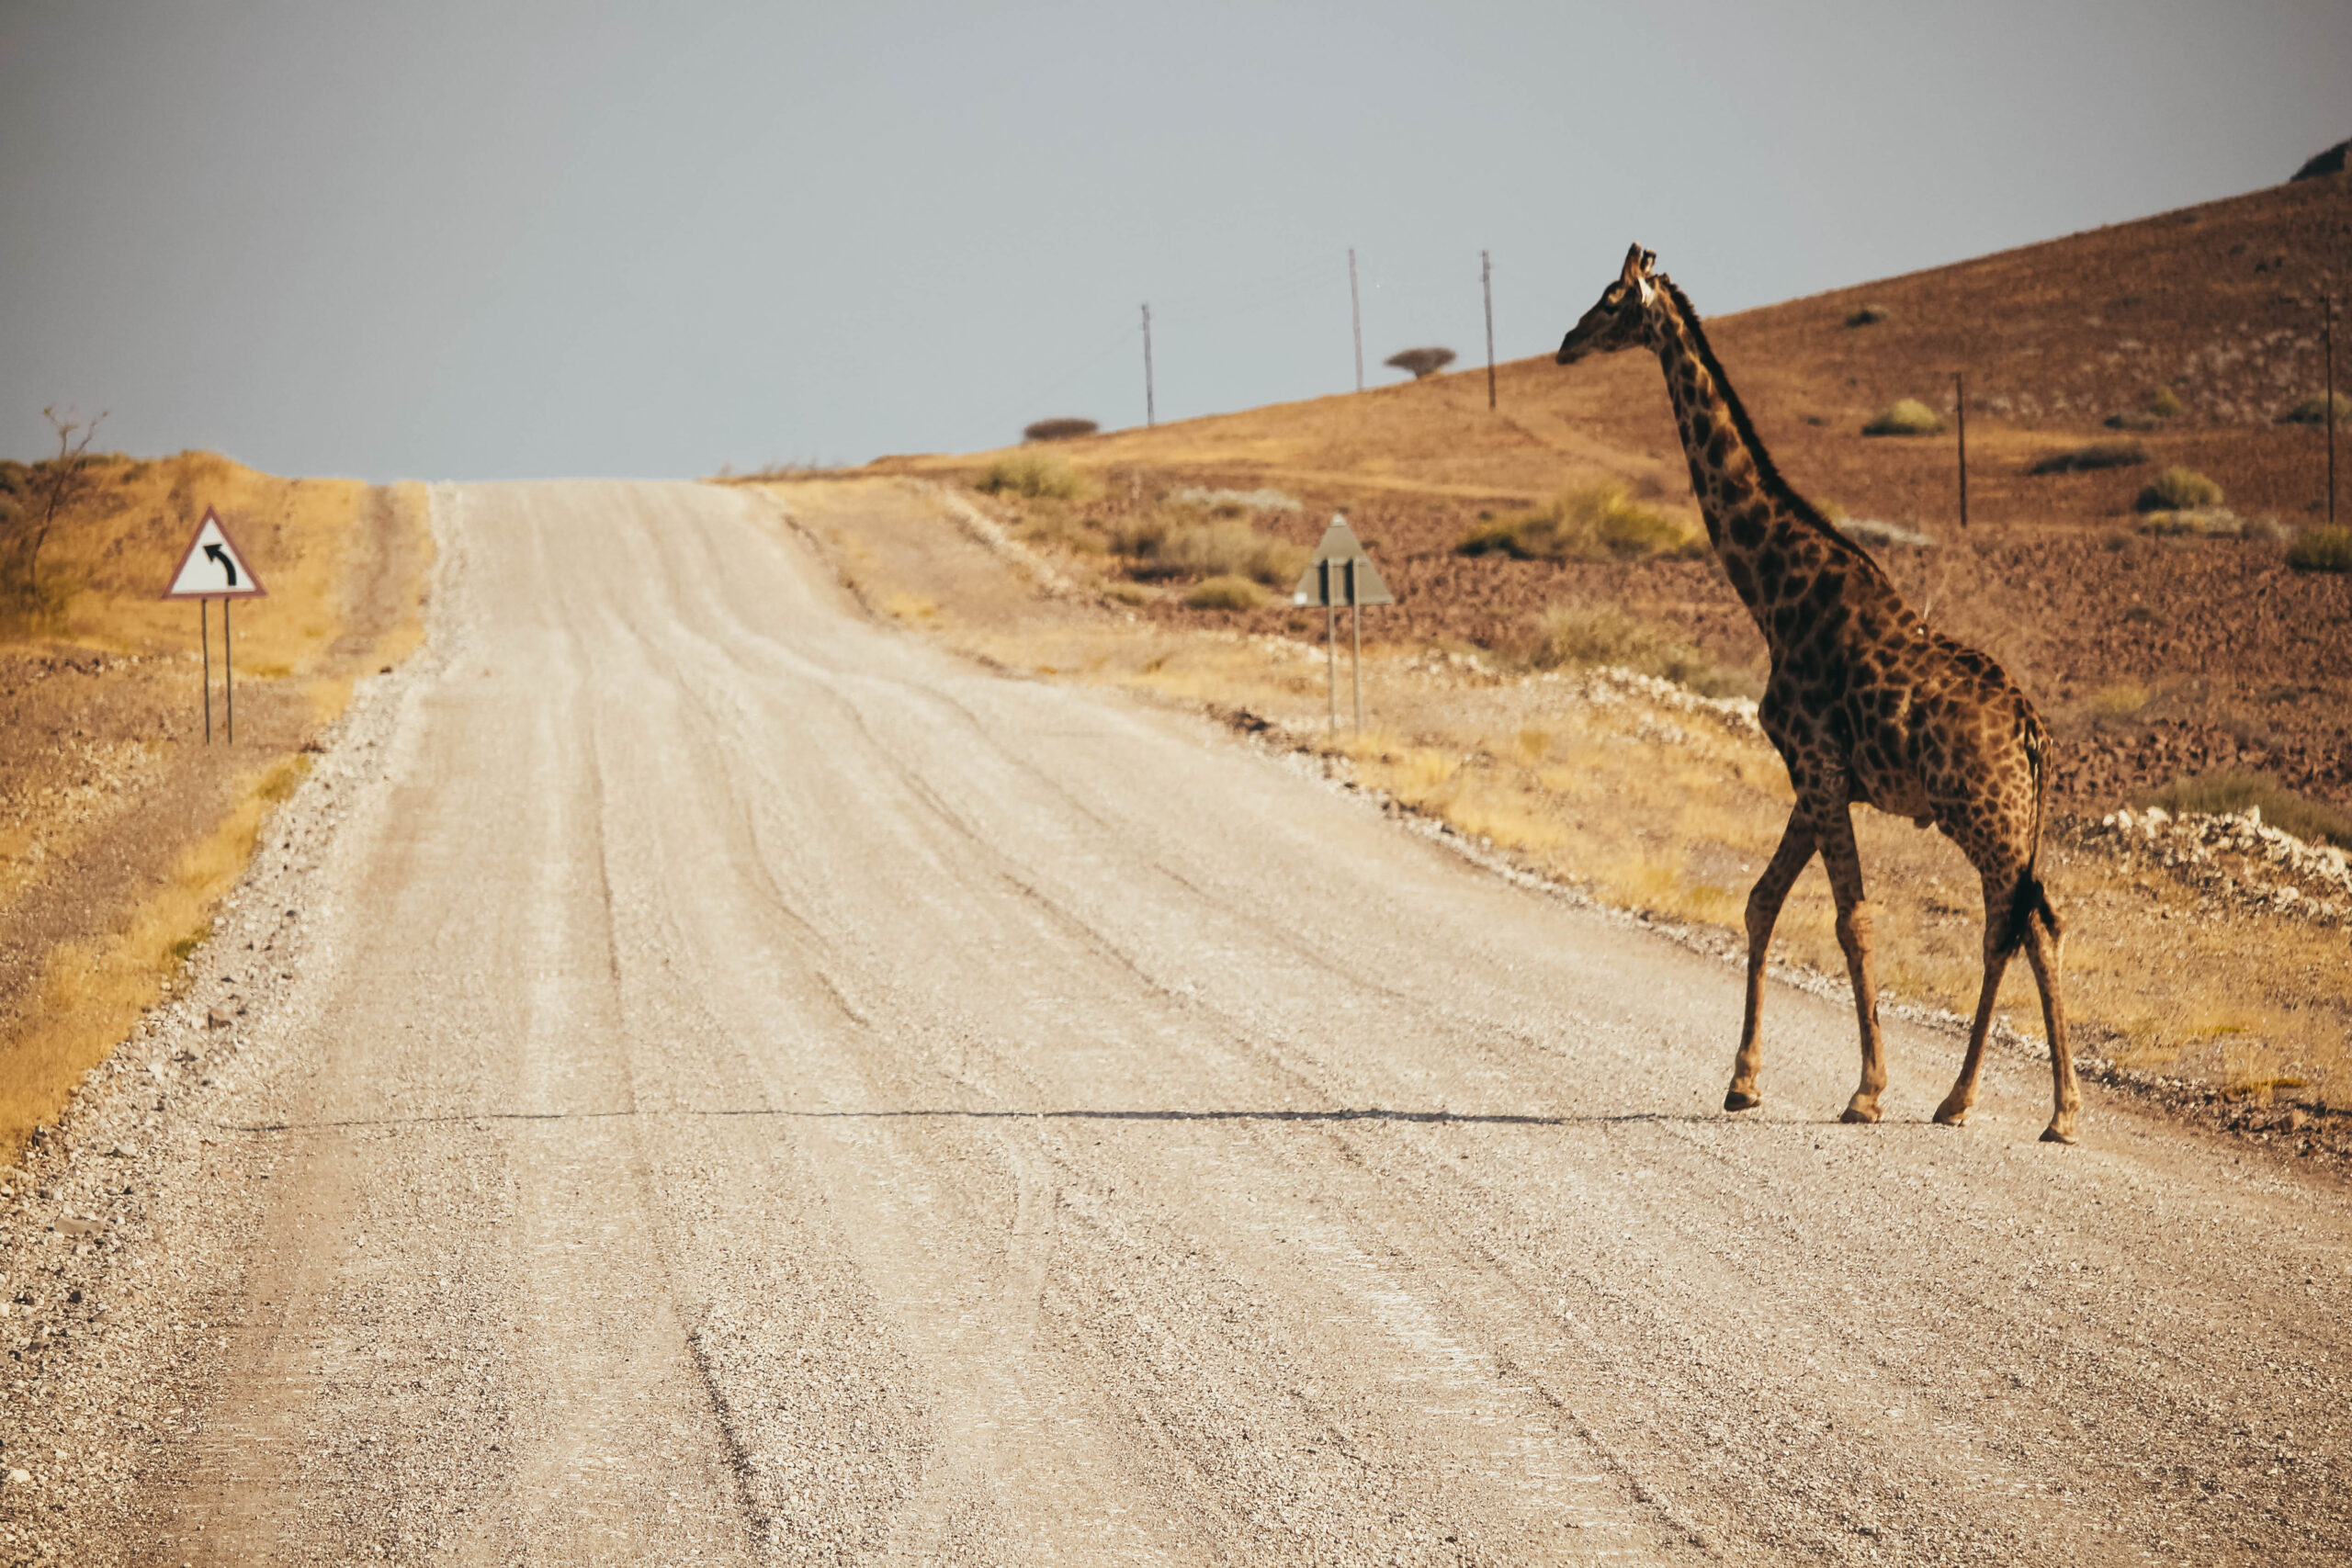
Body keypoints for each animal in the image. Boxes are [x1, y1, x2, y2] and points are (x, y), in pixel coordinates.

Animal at [1556, 245, 2080, 1143]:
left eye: (1613, 298)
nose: (1564, 342)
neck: (1771, 592)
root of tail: (2033, 733)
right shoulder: (1815, 777)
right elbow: (1762, 901)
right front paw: (1743, 1080)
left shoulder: (1820, 768)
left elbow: (1851, 920)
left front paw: (1866, 1091)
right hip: (1999, 822)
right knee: (2010, 926)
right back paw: (1962, 1099)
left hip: (1986, 817)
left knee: (2030, 922)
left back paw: (2059, 1111)